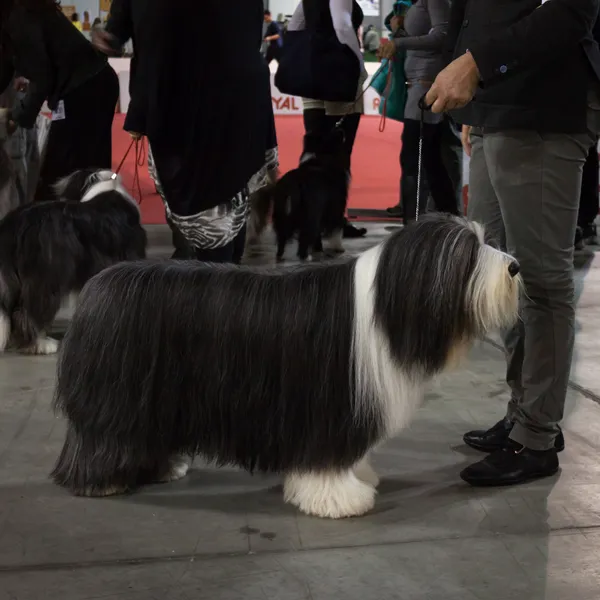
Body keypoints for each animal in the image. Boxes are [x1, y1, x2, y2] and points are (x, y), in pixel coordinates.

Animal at [51, 217, 520, 520]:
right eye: (468, 252)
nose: (515, 266)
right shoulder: (328, 406)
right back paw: (99, 480)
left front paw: (358, 477)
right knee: (100, 435)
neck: (386, 304)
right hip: (117, 394)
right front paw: (339, 498)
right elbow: (327, 460)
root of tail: (99, 283)